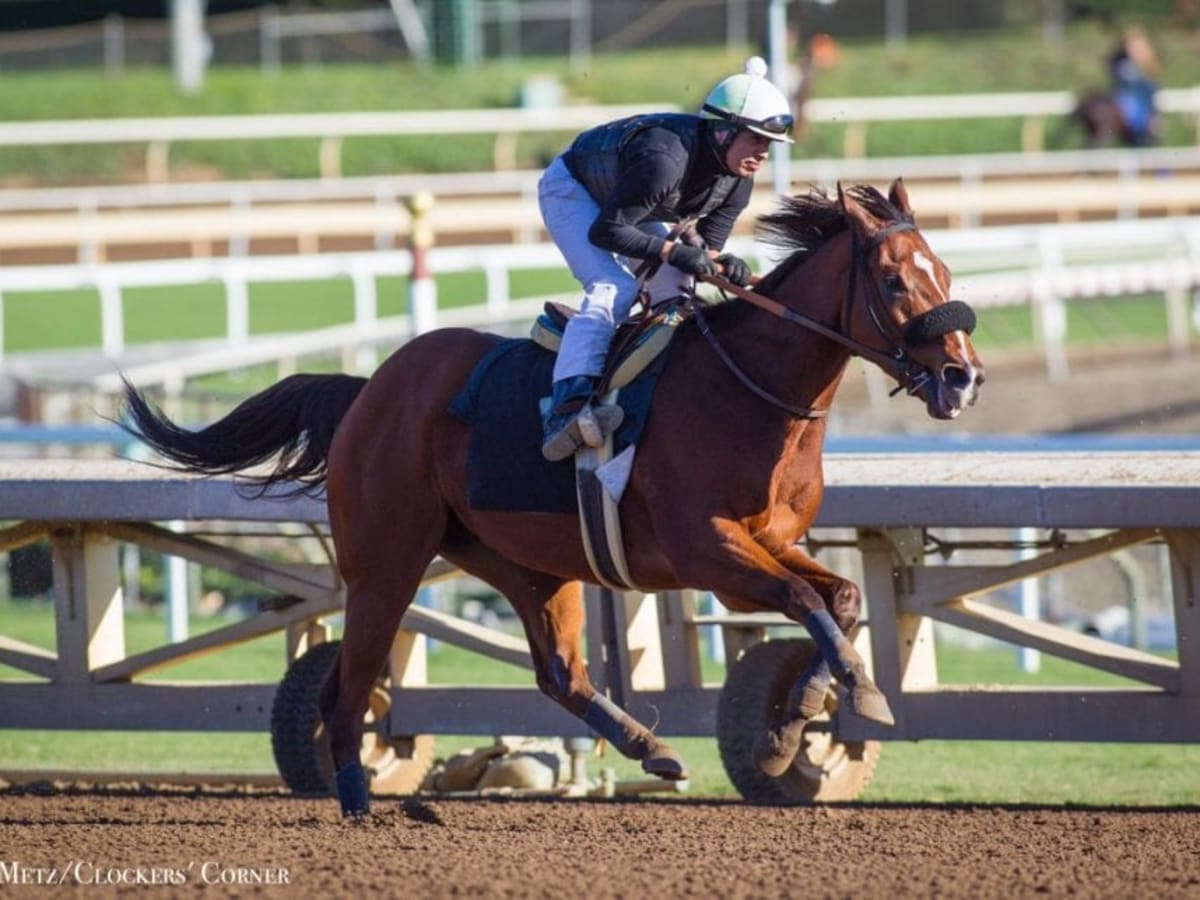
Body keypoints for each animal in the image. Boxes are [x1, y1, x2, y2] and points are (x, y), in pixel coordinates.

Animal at [121, 180, 984, 816]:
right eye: (895, 279)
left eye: (944, 270)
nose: (964, 374)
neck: (748, 391)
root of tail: (369, 389)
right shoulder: (707, 548)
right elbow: (804, 600)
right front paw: (821, 716)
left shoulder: (766, 539)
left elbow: (835, 600)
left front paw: (808, 715)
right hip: (386, 564)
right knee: (346, 686)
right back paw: (360, 797)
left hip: (526, 562)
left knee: (559, 673)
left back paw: (649, 747)